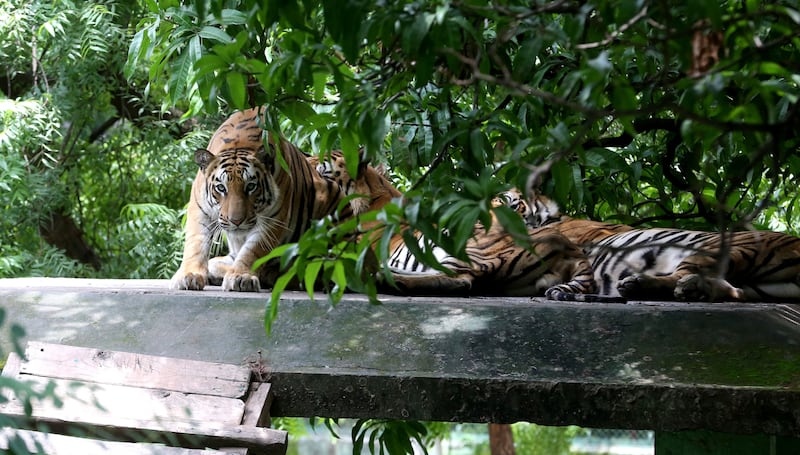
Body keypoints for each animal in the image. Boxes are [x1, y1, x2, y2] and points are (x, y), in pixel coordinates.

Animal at [314, 153, 624, 302]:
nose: (308, 157)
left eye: (321, 159)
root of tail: (575, 253)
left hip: (468, 248)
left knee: (463, 279)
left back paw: (386, 279)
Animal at [500, 187, 800, 302]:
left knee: (684, 277)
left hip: (715, 247)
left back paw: (644, 284)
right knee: (731, 290)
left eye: (506, 198)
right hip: (761, 287)